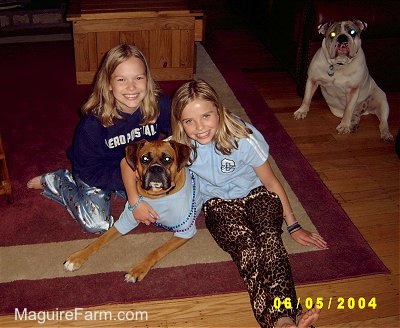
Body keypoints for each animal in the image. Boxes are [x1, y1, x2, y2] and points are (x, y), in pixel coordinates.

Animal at [64, 140, 202, 284]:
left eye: (167, 159)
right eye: (145, 159)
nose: (155, 168)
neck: (156, 196)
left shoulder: (185, 232)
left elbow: (156, 251)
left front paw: (137, 270)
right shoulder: (125, 221)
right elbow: (99, 240)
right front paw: (77, 257)